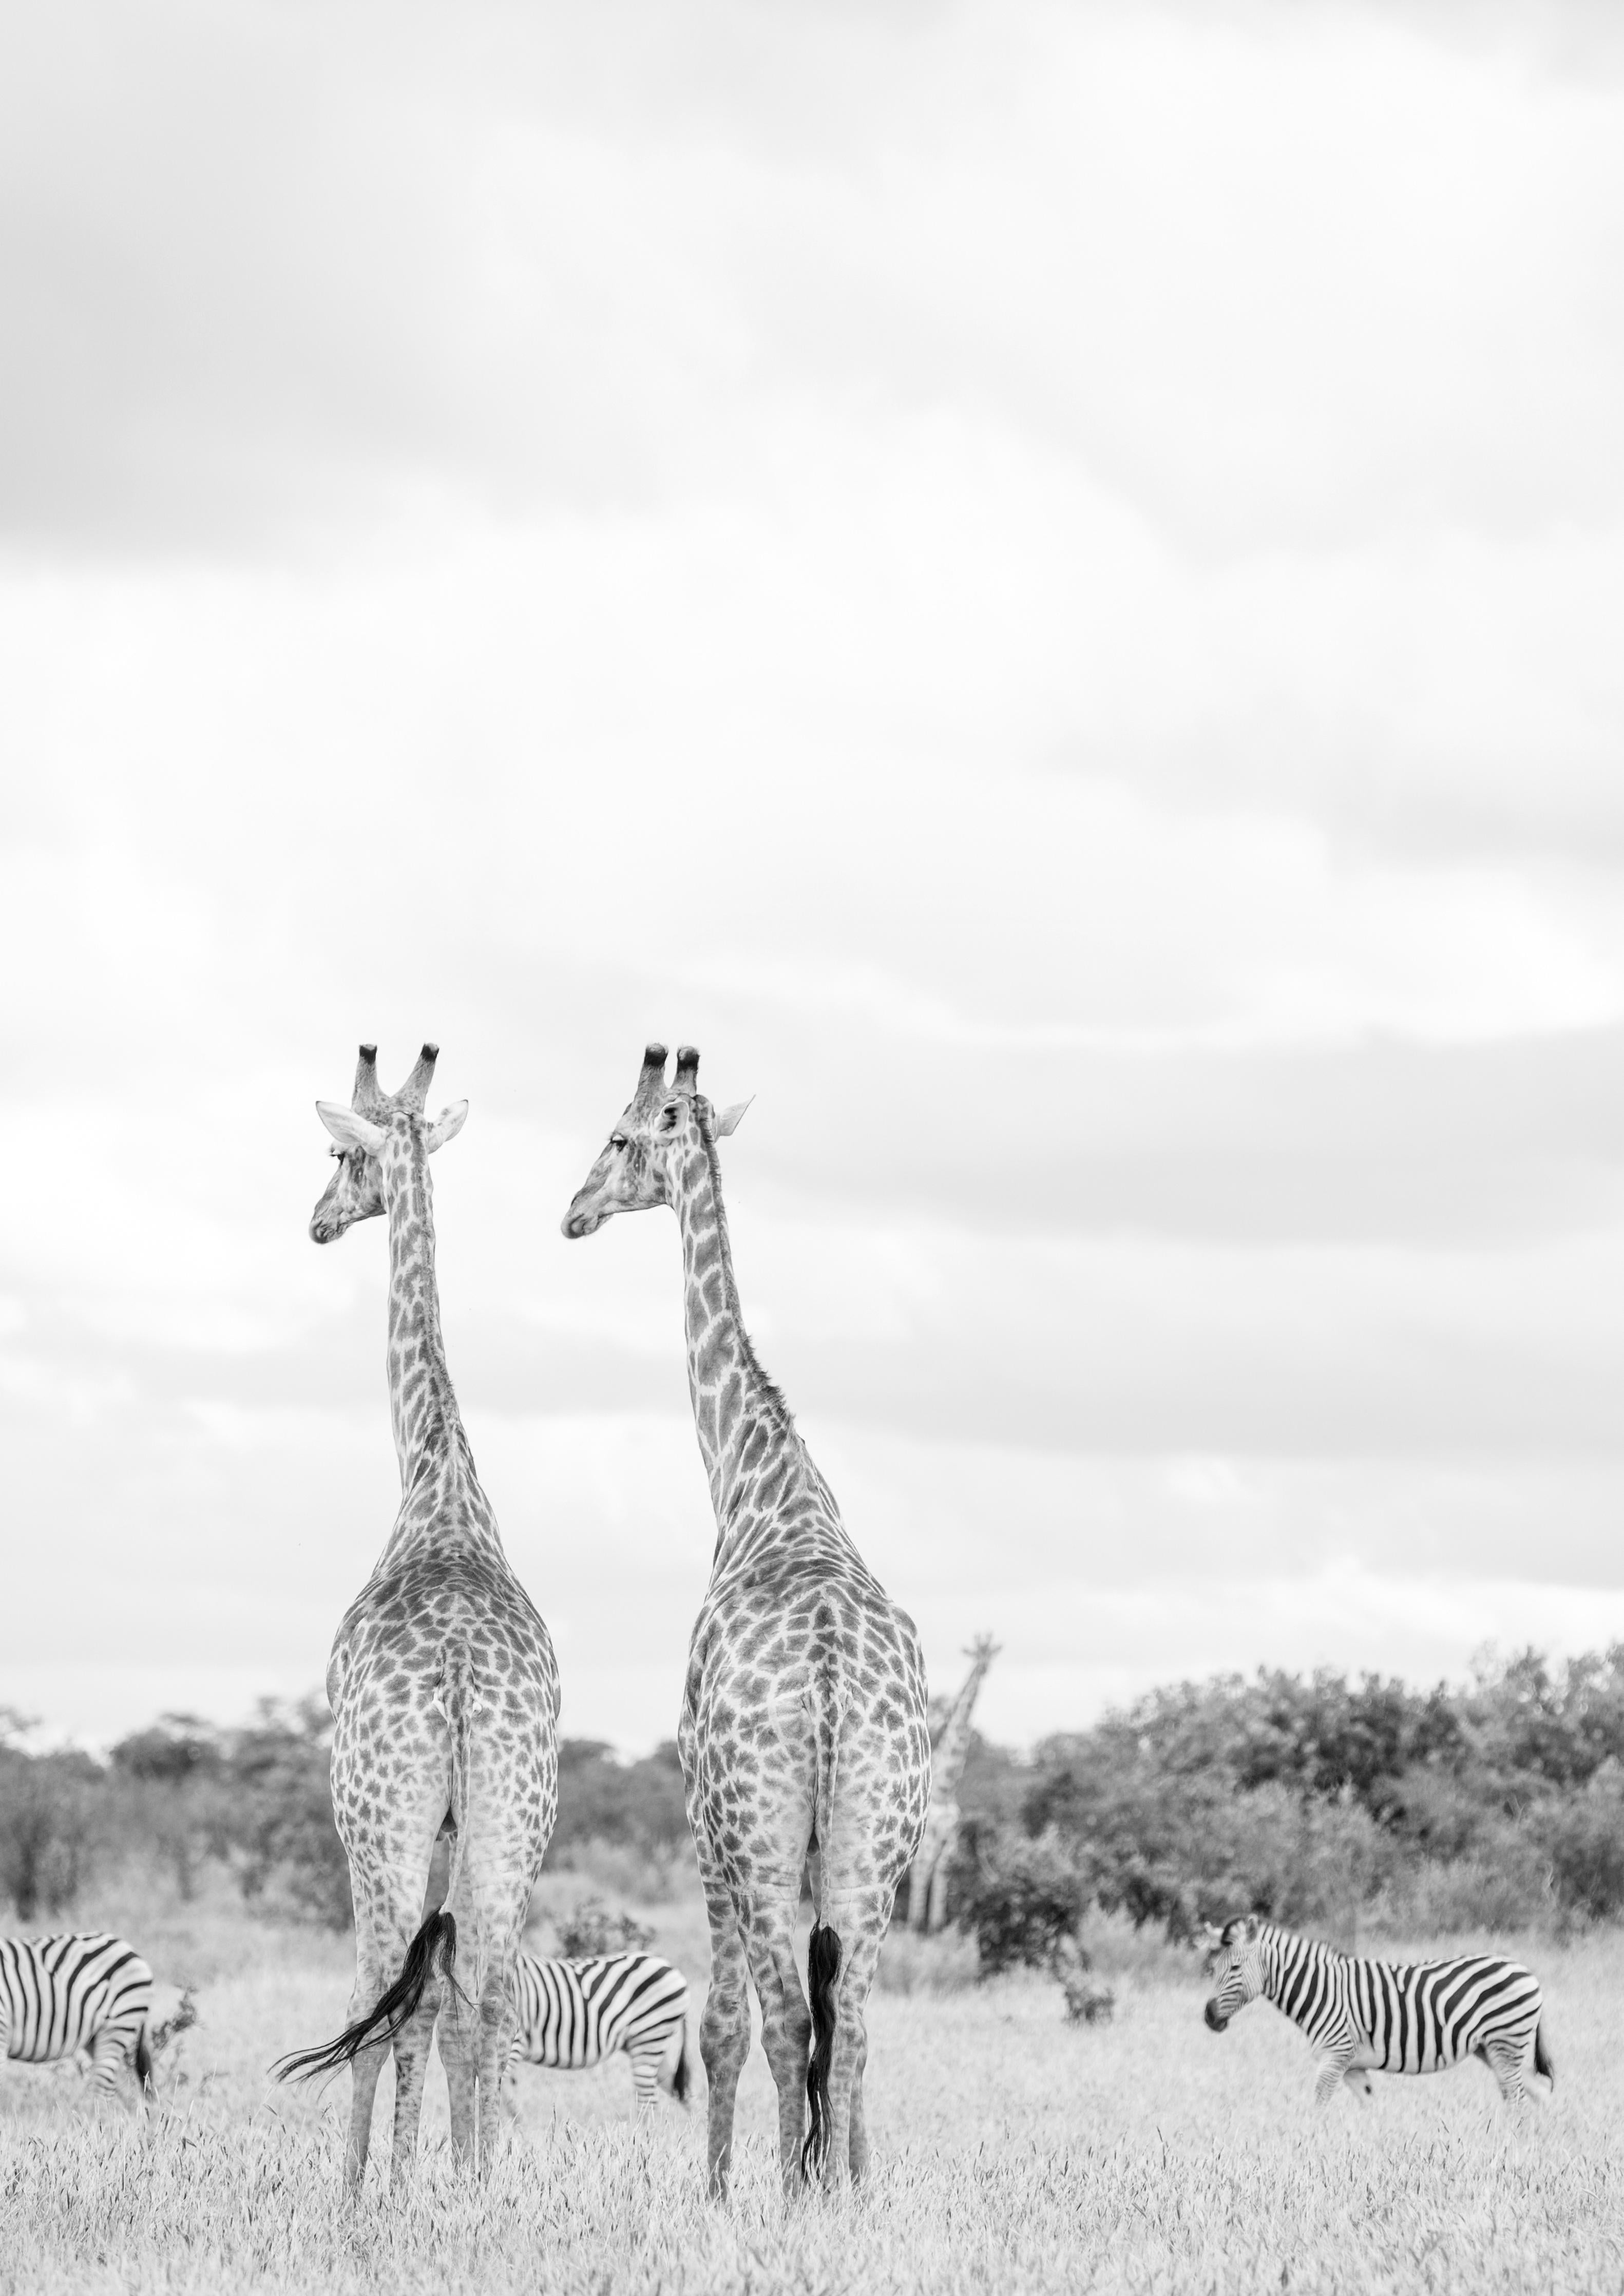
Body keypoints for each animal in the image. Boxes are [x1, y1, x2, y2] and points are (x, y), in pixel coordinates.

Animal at [505, 1950, 690, 2115]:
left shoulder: (515, 2041)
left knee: (648, 2103)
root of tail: (672, 1968)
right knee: (681, 2092)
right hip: (647, 2042)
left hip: (649, 2036)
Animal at [1201, 1915, 1555, 2107]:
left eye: (1235, 1968)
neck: (1321, 1990)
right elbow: (1370, 2108)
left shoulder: (1335, 2056)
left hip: (1506, 2042)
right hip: (1493, 2048)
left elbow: (1317, 2108)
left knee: (1519, 2099)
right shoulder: (1353, 2067)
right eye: (1212, 1969)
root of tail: (1526, 1970)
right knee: (1537, 2095)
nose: (1209, 2018)